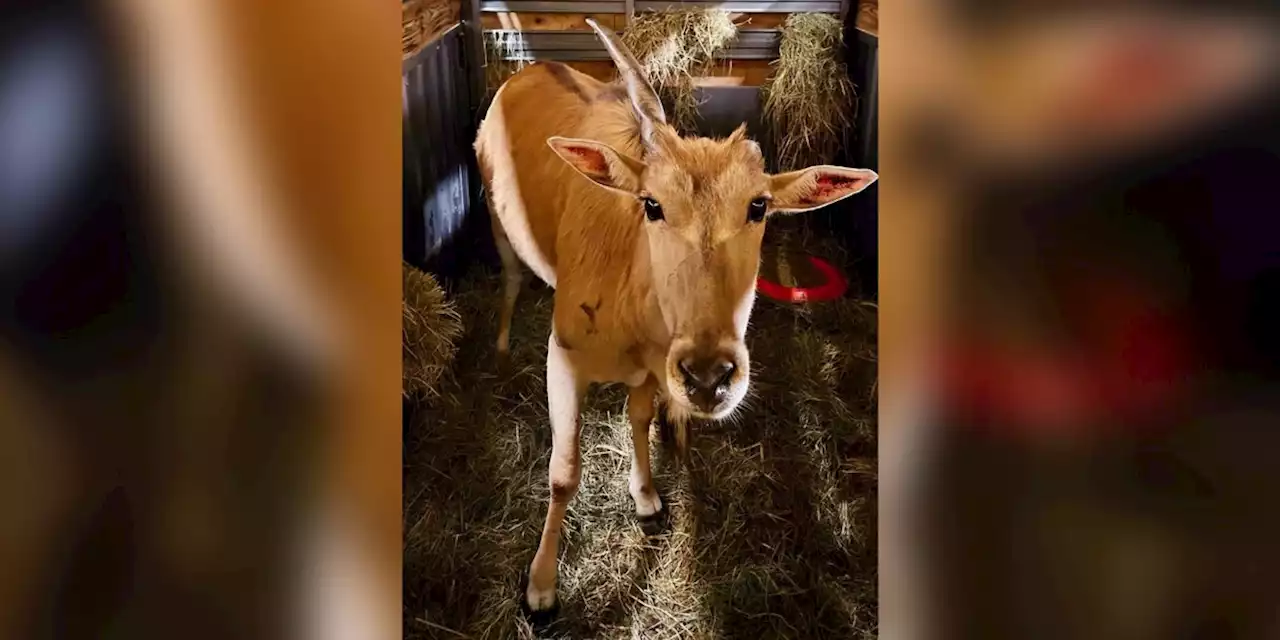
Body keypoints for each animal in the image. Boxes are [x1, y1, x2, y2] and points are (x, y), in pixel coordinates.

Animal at [476, 20, 875, 616]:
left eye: (758, 205)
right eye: (652, 204)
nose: (709, 377)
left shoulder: (652, 369)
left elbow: (640, 418)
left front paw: (646, 497)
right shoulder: (562, 358)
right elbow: (563, 473)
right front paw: (541, 588)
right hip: (498, 225)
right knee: (511, 277)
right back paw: (501, 345)